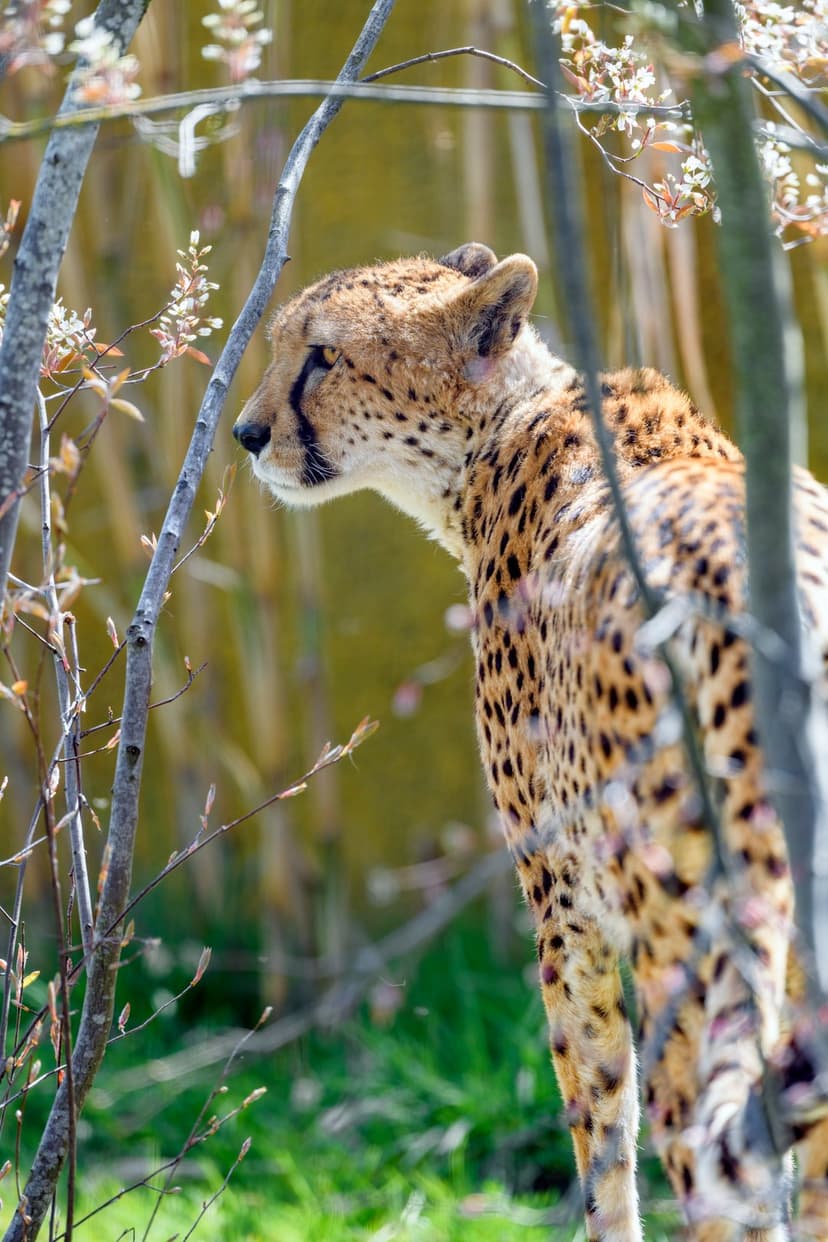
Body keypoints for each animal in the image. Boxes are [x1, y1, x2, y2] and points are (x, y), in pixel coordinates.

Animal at [233, 242, 828, 1240]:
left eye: (321, 356)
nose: (245, 432)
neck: (501, 431)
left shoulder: (565, 902)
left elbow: (603, 1132)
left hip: (686, 938)